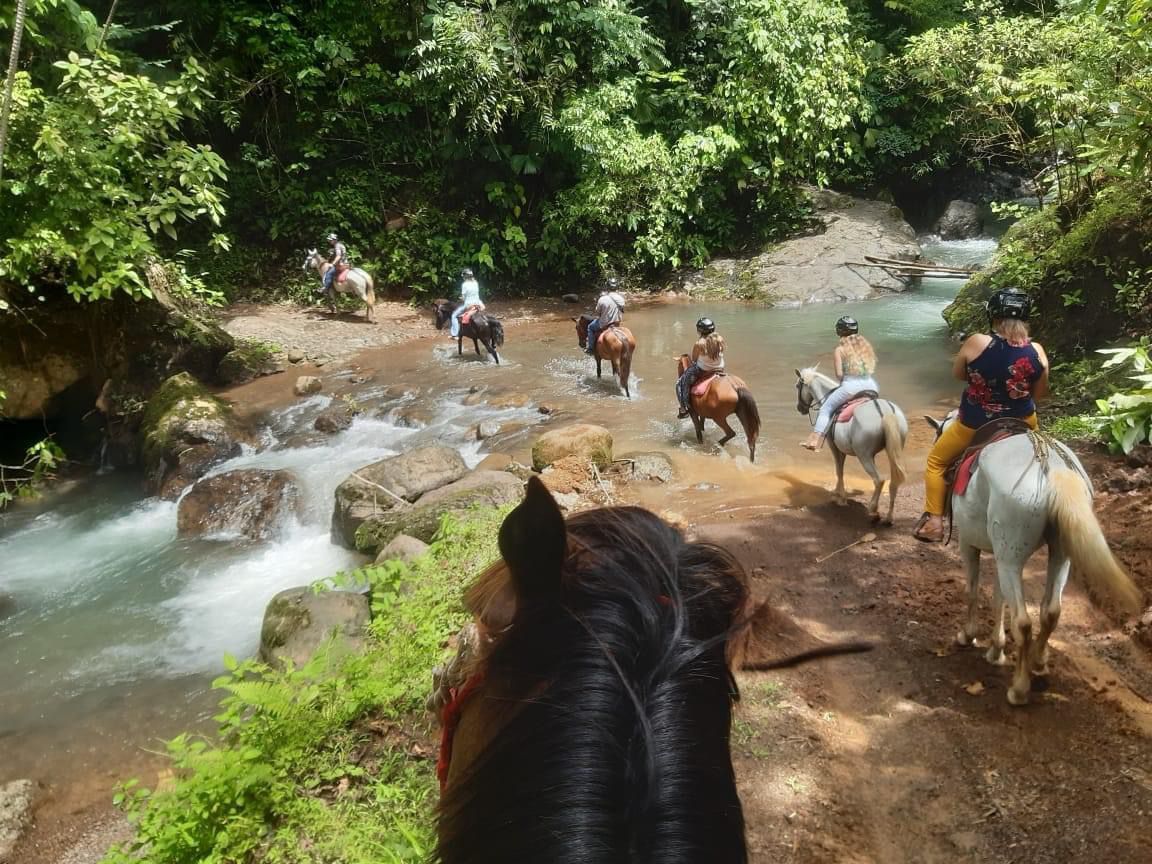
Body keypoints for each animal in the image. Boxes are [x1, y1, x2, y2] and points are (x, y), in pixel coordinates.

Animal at [797, 368, 903, 525]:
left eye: (798, 386)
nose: (800, 408)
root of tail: (885, 411)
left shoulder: (834, 446)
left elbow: (839, 469)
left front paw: (840, 497)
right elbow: (840, 469)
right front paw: (838, 492)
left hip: (864, 455)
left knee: (879, 480)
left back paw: (873, 511)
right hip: (892, 452)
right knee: (893, 481)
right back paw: (889, 517)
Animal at [926, 414, 1142, 709]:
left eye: (938, 434)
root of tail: (1050, 466)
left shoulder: (969, 545)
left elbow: (973, 591)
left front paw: (968, 636)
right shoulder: (1000, 553)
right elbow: (998, 597)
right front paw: (996, 650)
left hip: (1011, 554)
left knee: (1023, 622)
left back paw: (1019, 689)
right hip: (1055, 553)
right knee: (1051, 611)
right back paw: (1038, 661)